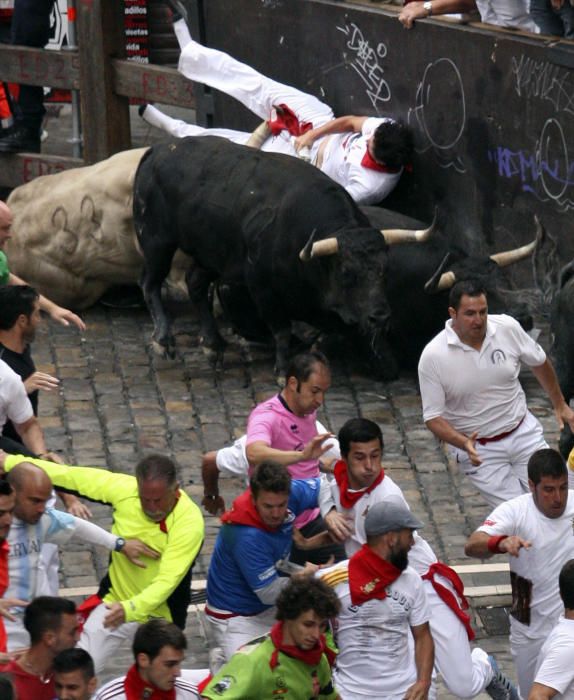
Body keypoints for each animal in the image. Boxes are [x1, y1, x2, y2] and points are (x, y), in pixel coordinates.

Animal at [134, 137, 540, 378]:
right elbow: (283, 331)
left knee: (195, 283)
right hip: (156, 238)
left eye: (382, 271)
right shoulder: (262, 285)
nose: (524, 314)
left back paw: (213, 345)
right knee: (150, 282)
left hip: (210, 254)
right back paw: (165, 338)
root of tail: (160, 150)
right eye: (346, 273)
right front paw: (286, 365)